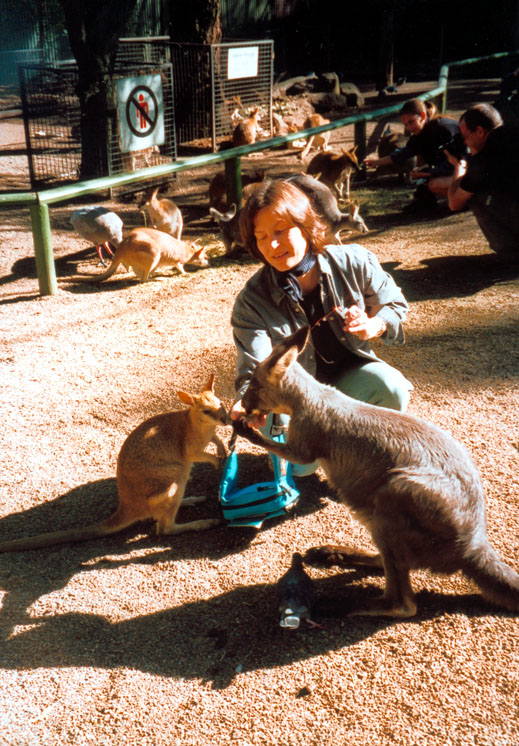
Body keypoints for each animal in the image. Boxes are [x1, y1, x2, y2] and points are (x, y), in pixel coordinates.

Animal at [233, 327, 519, 617]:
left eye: (254, 386)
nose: (243, 403)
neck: (309, 396)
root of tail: (472, 547)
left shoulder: (307, 440)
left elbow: (293, 454)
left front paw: (245, 429)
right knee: (388, 563)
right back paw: (333, 553)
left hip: (395, 498)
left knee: (403, 604)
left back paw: (333, 604)